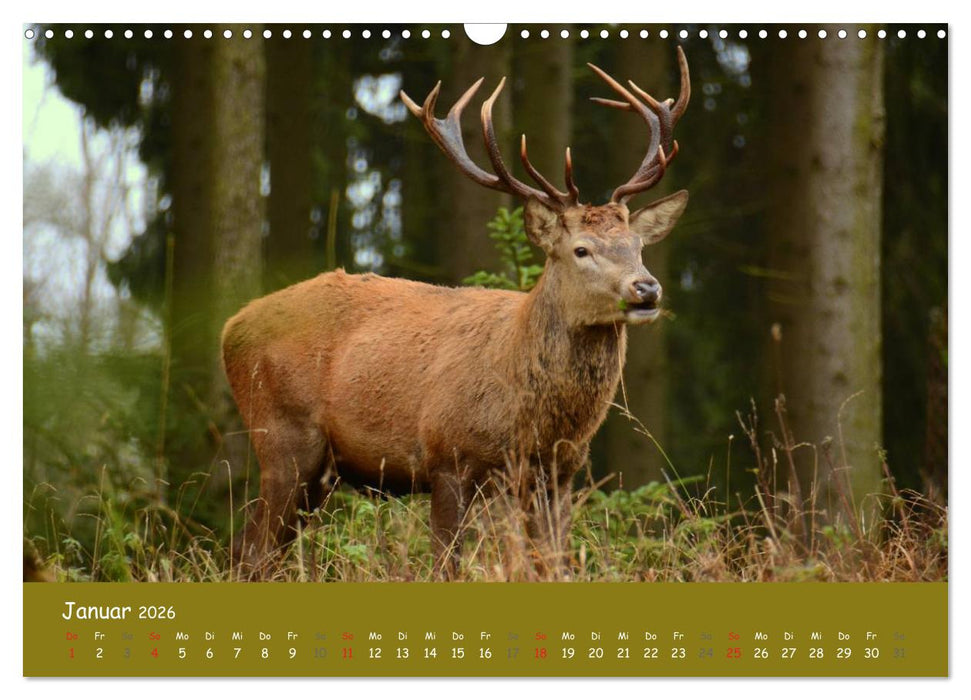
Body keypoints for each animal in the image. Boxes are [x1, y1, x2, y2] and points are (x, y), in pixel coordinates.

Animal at [223, 48, 690, 579]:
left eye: (637, 245)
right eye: (581, 249)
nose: (646, 288)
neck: (531, 417)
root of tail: (231, 327)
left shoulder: (558, 473)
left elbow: (552, 566)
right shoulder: (447, 457)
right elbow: (446, 564)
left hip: (318, 471)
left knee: (255, 551)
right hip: (282, 438)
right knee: (251, 552)